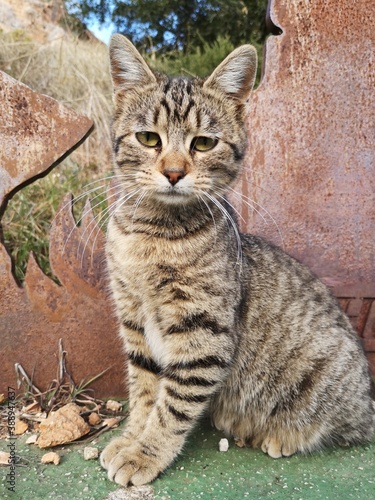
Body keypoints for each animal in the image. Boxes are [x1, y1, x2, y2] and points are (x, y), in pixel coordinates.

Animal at [100, 34, 375, 484]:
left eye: (203, 143)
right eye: (149, 139)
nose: (173, 172)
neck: (153, 234)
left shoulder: (202, 332)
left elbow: (172, 406)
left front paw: (145, 452)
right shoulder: (134, 321)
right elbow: (144, 391)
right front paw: (131, 437)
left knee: (343, 428)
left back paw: (281, 436)